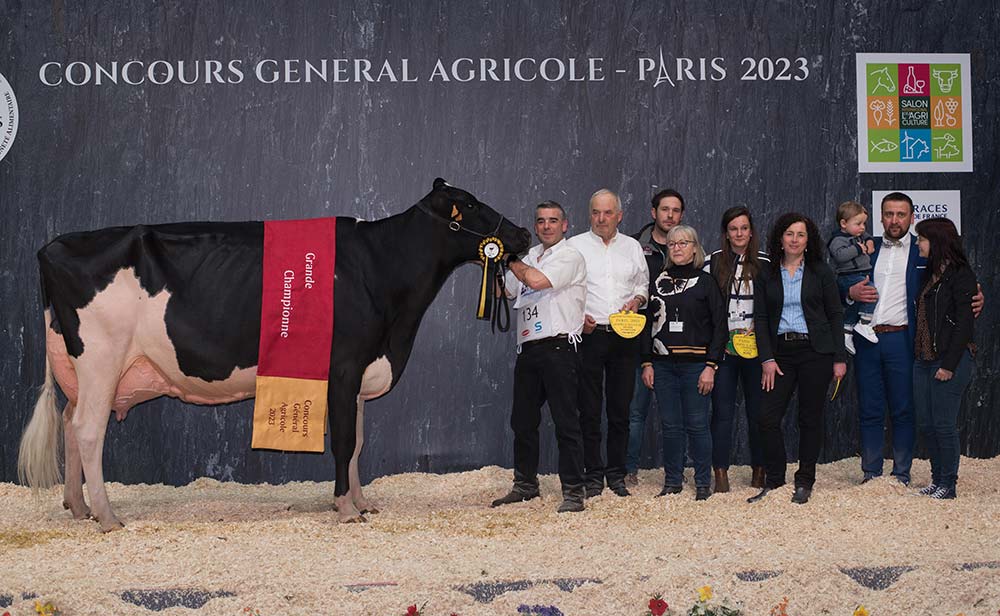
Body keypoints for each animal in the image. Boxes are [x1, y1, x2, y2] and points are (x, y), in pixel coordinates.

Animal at [17, 178, 532, 528]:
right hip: (101, 359)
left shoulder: (361, 374)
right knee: (88, 430)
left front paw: (363, 502)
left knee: (70, 422)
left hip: (83, 370)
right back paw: (107, 516)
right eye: (470, 205)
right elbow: (342, 442)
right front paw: (345, 508)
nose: (524, 233)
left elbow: (359, 443)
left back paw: (78, 505)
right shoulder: (343, 367)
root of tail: (53, 246)